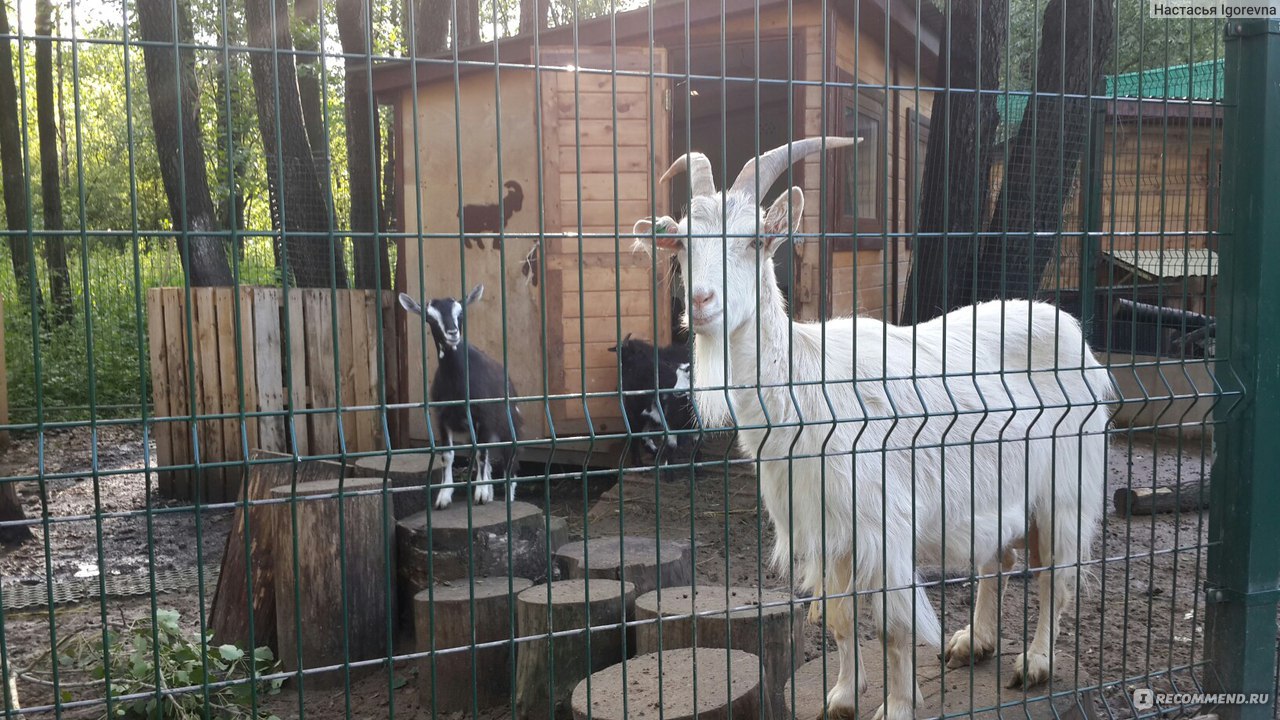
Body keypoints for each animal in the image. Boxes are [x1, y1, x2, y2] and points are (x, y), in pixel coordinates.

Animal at [399, 283, 519, 507]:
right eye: (430, 318)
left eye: (460, 313)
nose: (452, 333)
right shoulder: (442, 419)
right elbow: (448, 456)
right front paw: (444, 496)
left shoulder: (483, 417)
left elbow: (481, 453)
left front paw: (480, 493)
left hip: (509, 424)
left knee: (510, 458)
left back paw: (508, 497)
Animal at [634, 135, 1116, 717]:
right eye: (681, 244)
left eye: (754, 241)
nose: (700, 303)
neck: (806, 386)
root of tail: (1073, 332)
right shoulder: (826, 526)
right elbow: (841, 617)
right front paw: (842, 696)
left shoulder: (882, 524)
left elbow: (892, 626)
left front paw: (899, 704)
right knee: (995, 561)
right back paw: (974, 642)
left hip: (1066, 484)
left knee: (1055, 575)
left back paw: (1035, 664)